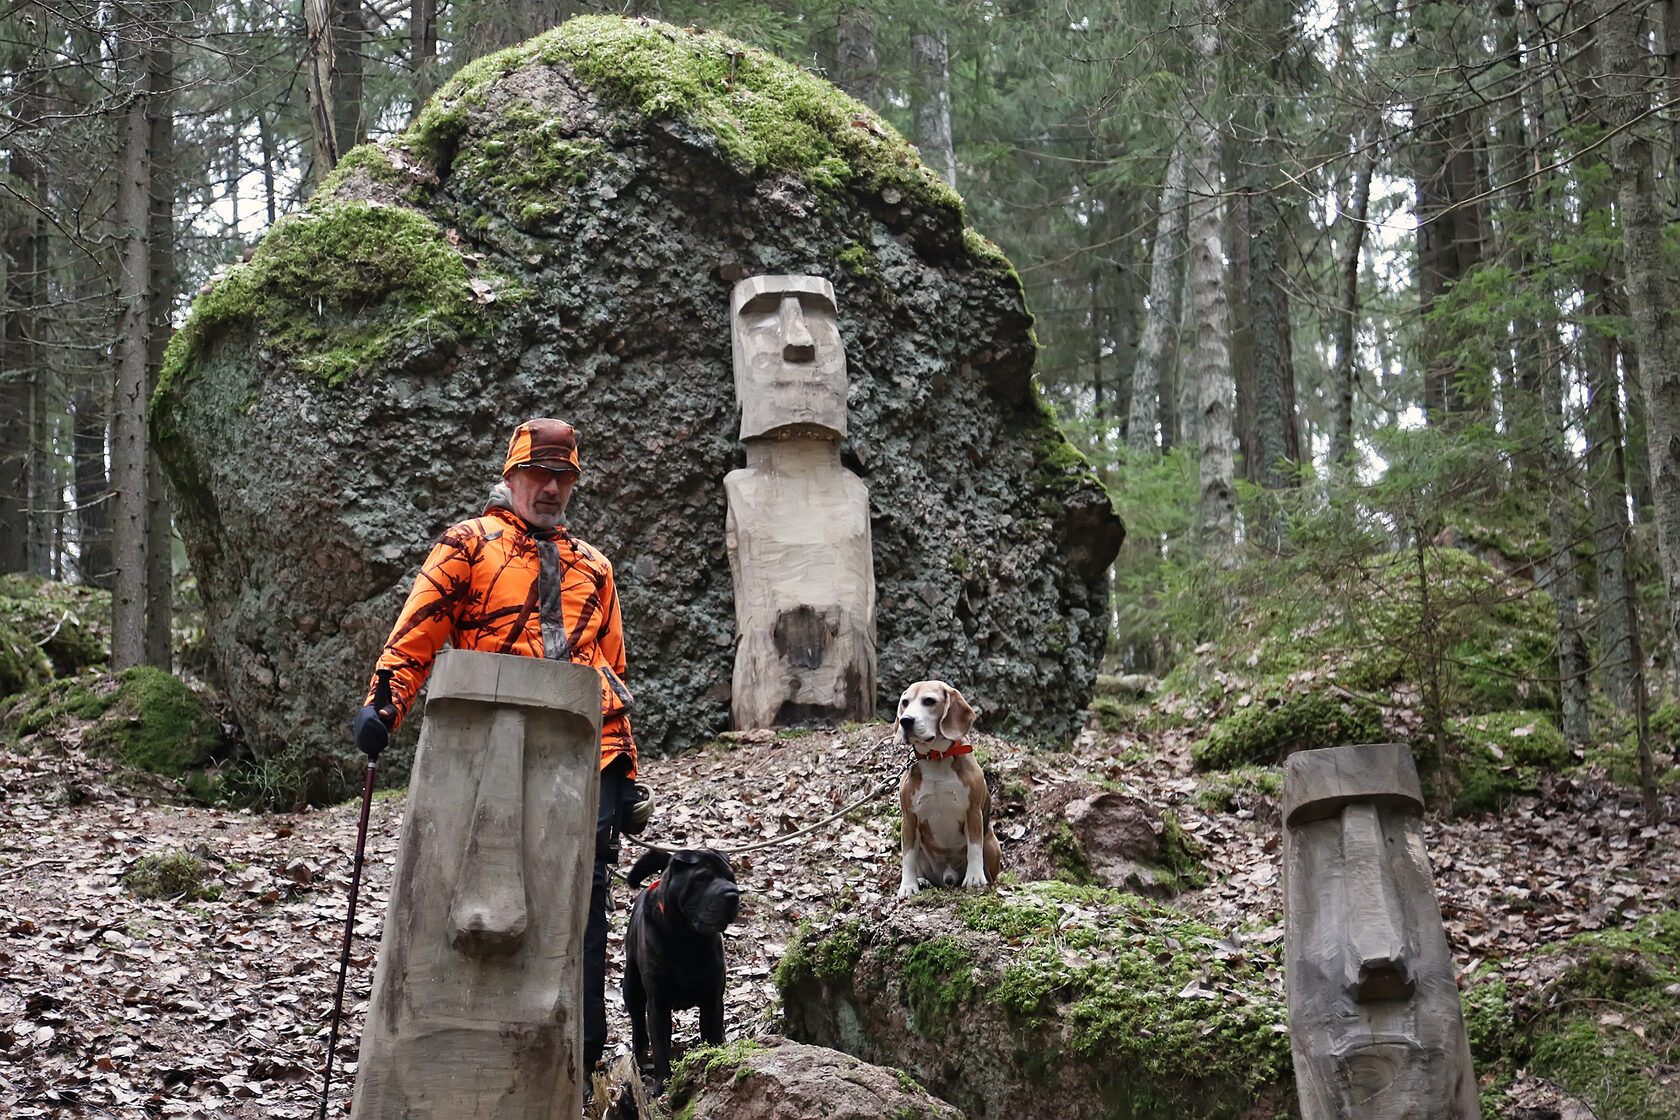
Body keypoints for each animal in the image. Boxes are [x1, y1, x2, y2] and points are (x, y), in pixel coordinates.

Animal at [621, 849, 739, 1088]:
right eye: (702, 878)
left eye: (730, 877)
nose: (733, 894)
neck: (687, 938)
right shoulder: (657, 1004)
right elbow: (659, 1049)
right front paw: (662, 1084)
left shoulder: (712, 1000)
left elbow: (712, 1035)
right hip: (631, 984)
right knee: (638, 1020)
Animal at [893, 675, 994, 900]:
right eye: (905, 703)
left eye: (929, 701)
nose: (905, 720)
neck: (936, 758)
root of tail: (948, 877)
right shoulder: (909, 819)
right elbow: (908, 856)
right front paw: (908, 885)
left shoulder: (973, 812)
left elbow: (974, 848)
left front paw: (974, 878)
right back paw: (922, 881)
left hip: (991, 842)